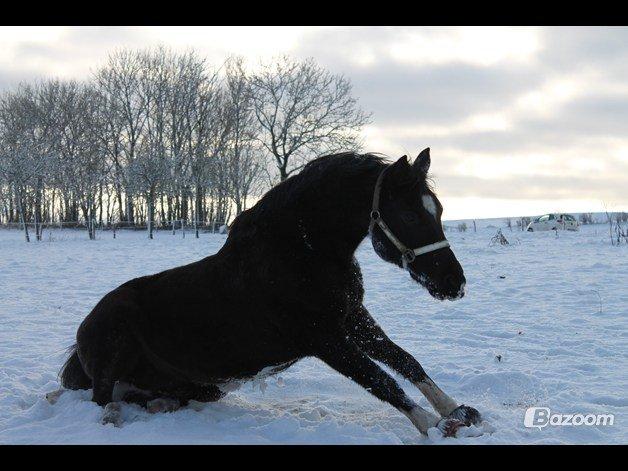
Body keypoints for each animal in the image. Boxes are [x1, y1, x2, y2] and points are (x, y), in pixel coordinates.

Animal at [59, 149, 480, 436]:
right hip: (113, 346)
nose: (453, 284)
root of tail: (81, 335)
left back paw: (161, 404)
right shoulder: (323, 339)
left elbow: (405, 361)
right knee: (104, 402)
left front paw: (458, 412)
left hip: (200, 387)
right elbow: (380, 380)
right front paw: (437, 427)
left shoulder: (353, 320)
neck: (301, 254)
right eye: (409, 215)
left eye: (439, 210)